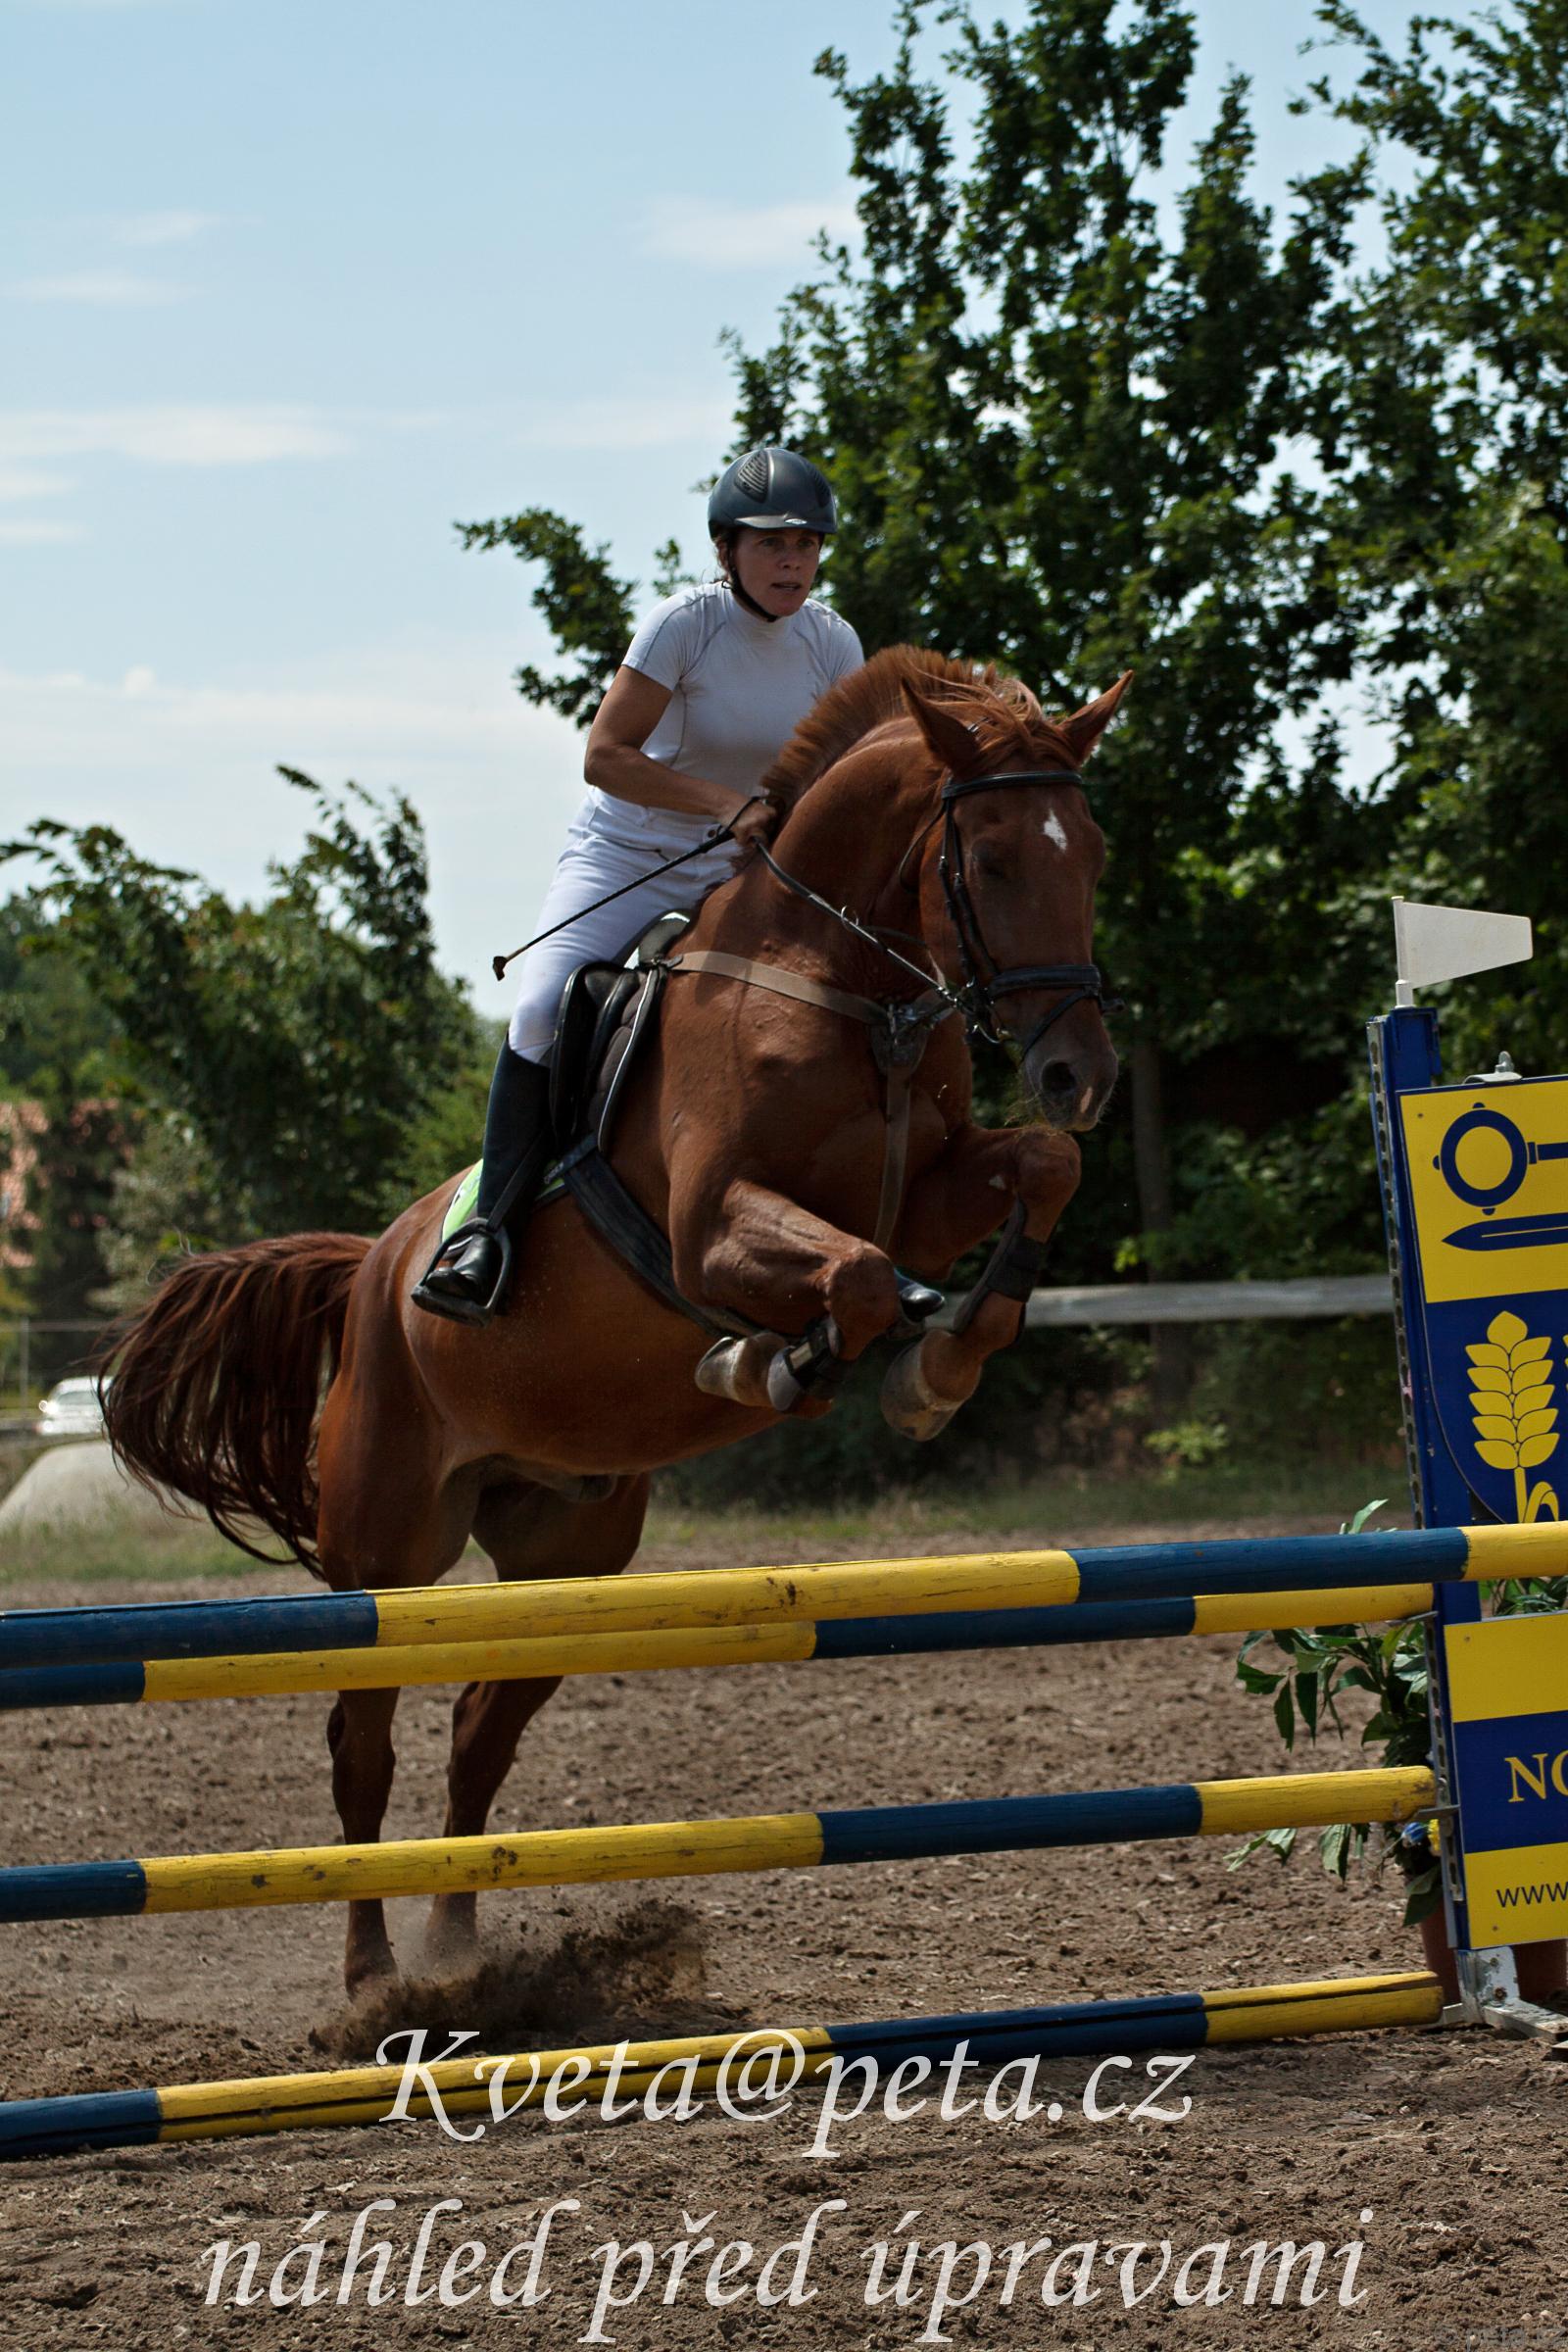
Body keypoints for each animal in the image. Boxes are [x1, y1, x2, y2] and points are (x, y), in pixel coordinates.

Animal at [102, 646, 1127, 1994]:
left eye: (1092, 852)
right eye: (995, 859)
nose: (1080, 1074)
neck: (846, 994)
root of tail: (372, 1265)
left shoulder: (936, 1186)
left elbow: (1036, 1178)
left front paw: (940, 1360)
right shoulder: (709, 1227)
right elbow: (852, 1279)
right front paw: (776, 1365)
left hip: (567, 1553)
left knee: (477, 1736)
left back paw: (457, 1951)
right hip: (387, 1551)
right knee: (361, 1744)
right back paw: (372, 1981)